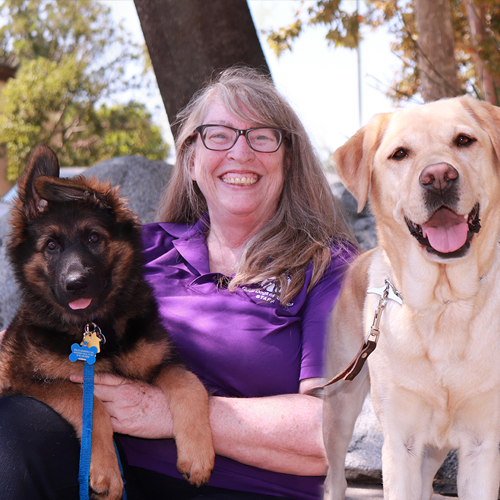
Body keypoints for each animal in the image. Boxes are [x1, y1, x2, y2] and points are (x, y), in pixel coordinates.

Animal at [0, 146, 213, 500]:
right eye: (51, 246)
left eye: (94, 238)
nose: (75, 284)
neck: (93, 325)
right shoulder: (27, 380)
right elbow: (90, 404)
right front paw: (105, 470)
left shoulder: (161, 360)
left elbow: (191, 383)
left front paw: (197, 454)